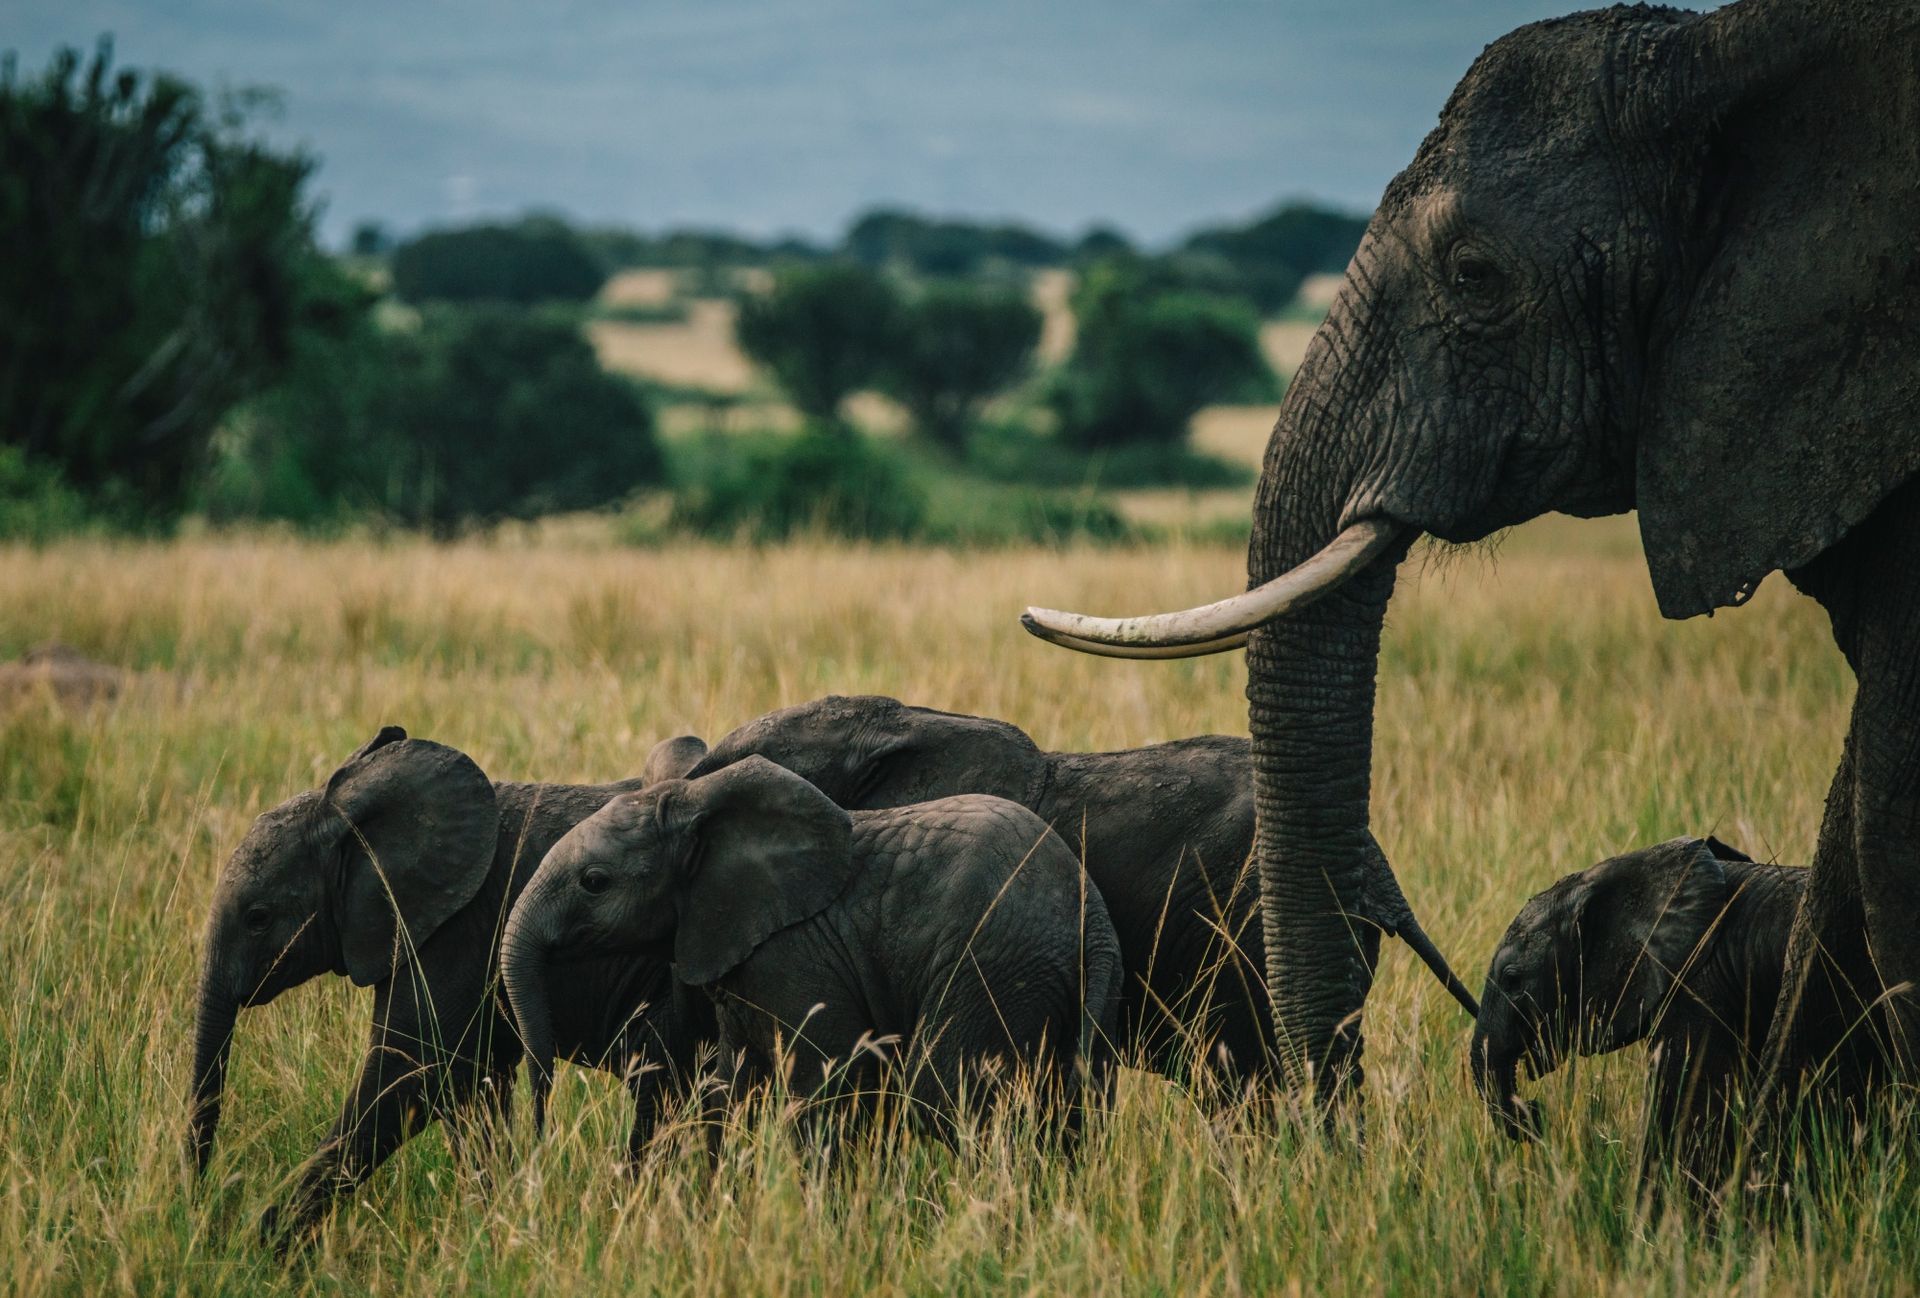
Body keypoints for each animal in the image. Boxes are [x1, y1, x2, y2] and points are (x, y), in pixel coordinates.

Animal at [187, 726, 713, 1241]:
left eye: (258, 918)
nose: (199, 1200)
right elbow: (475, 1086)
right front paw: (499, 1227)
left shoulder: (456, 932)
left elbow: (410, 1074)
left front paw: (261, 1242)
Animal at [502, 755, 1124, 1148]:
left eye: (594, 882)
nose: (538, 1138)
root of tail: (1090, 915)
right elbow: (728, 1086)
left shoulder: (795, 955)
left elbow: (826, 1085)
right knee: (1068, 1105)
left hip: (991, 965)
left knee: (942, 1095)